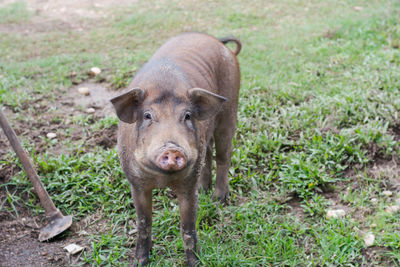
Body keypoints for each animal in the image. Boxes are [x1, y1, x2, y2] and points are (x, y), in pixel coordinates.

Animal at [109, 32, 241, 266]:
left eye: (187, 116)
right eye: (147, 116)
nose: (172, 148)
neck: (162, 179)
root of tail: (218, 41)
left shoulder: (187, 185)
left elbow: (187, 229)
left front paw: (195, 263)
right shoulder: (135, 183)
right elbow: (143, 223)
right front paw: (140, 261)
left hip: (230, 107)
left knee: (224, 154)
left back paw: (219, 199)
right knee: (208, 153)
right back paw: (204, 190)